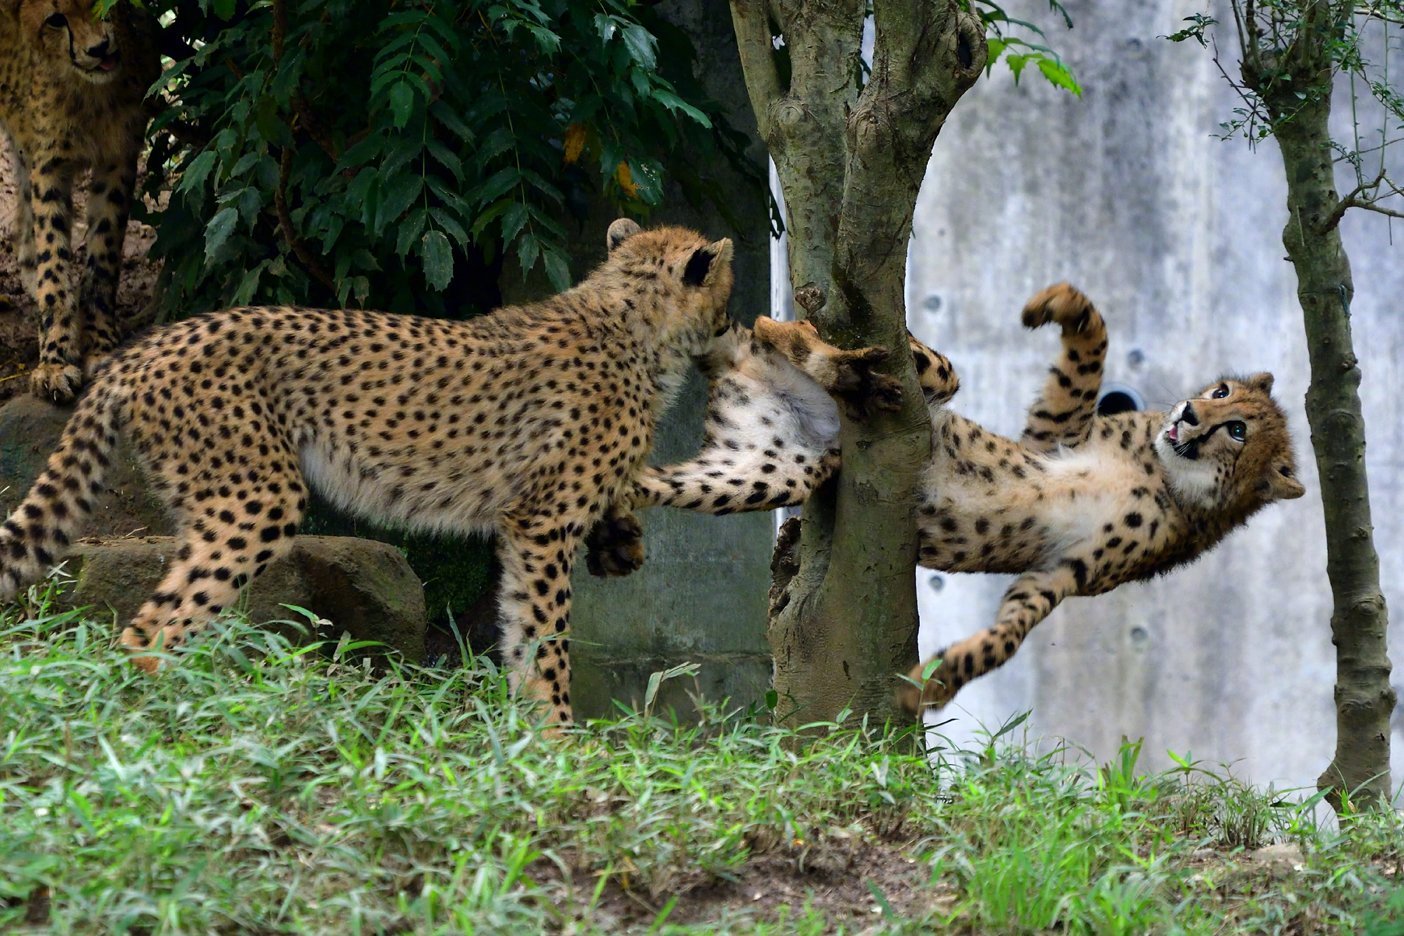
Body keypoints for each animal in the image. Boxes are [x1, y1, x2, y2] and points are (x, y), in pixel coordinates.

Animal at [1, 0, 160, 398]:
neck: (89, 94)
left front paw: (100, 344)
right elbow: (53, 257)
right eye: (56, 19)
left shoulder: (118, 158)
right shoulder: (49, 164)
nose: (99, 49)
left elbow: (103, 257)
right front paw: (54, 361)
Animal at [584, 282, 1302, 712]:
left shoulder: (1059, 574)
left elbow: (1005, 641)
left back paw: (613, 531)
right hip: (918, 388)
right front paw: (1057, 303)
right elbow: (1090, 345)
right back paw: (797, 336)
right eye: (1220, 392)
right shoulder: (1052, 436)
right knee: (873, 351)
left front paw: (934, 683)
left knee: (641, 478)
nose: (1189, 415)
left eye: (1239, 430)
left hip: (765, 470)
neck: (1167, 474)